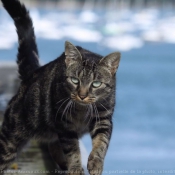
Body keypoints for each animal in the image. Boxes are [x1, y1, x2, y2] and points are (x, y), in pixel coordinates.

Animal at [0, 0, 120, 174]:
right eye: (75, 80)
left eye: (96, 83)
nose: (82, 95)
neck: (82, 110)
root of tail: (32, 73)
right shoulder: (65, 125)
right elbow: (73, 150)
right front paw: (76, 168)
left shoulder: (103, 118)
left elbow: (101, 143)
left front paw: (96, 163)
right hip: (11, 137)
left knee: (53, 145)